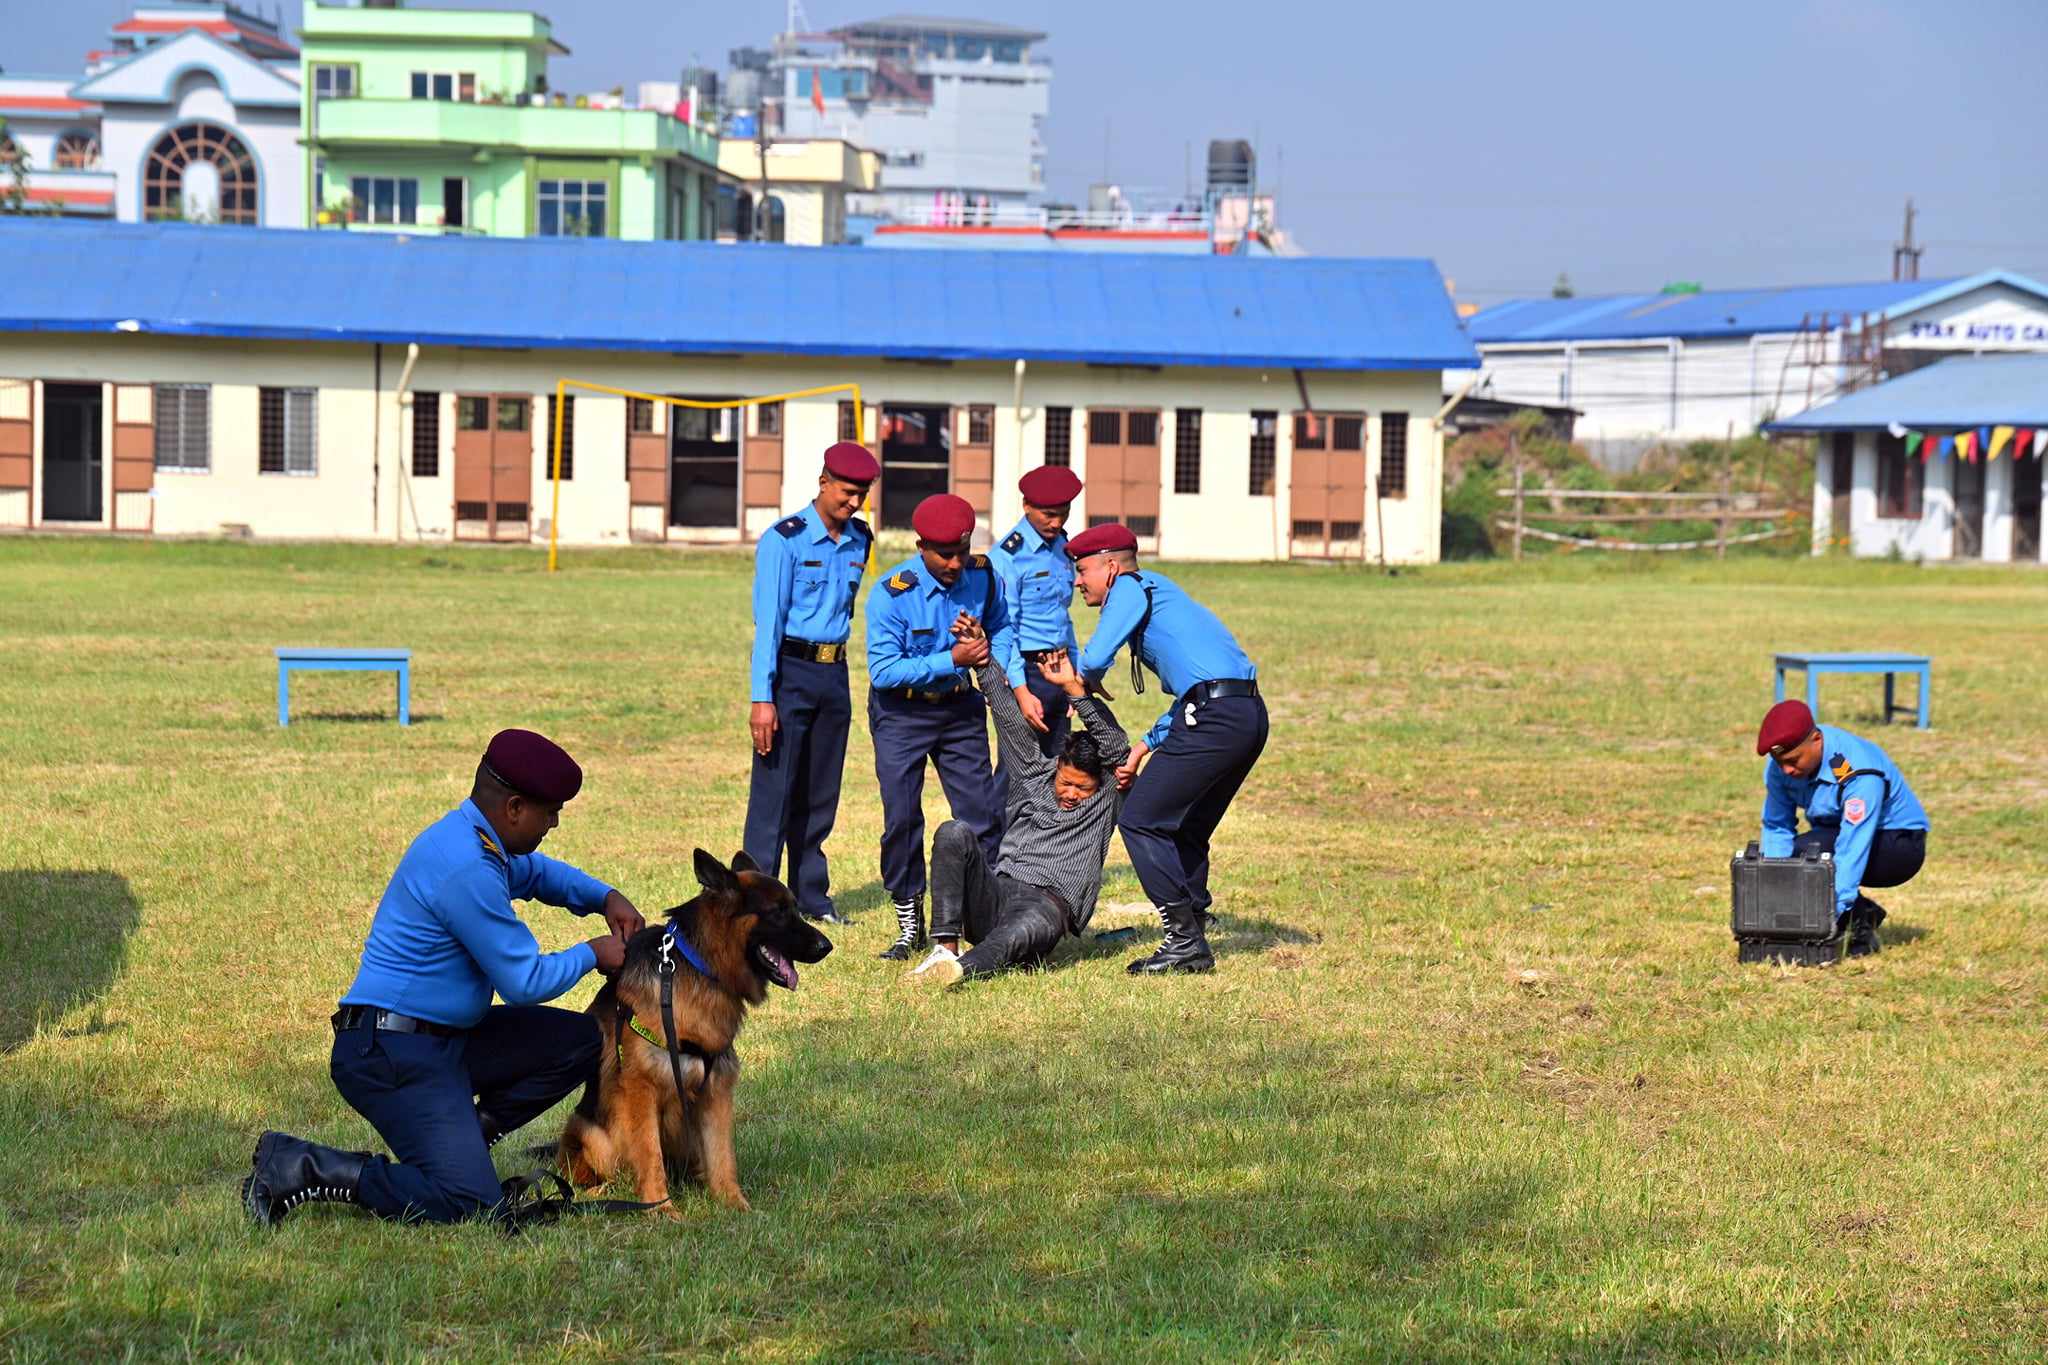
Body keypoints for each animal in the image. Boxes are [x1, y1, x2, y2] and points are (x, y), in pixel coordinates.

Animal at [552, 847, 831, 1211]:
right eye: (778, 912)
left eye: (796, 908)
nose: (826, 946)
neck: (700, 968)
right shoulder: (641, 1089)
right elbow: (650, 1157)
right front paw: (661, 1209)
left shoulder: (716, 1088)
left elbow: (723, 1156)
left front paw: (736, 1205)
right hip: (595, 1134)